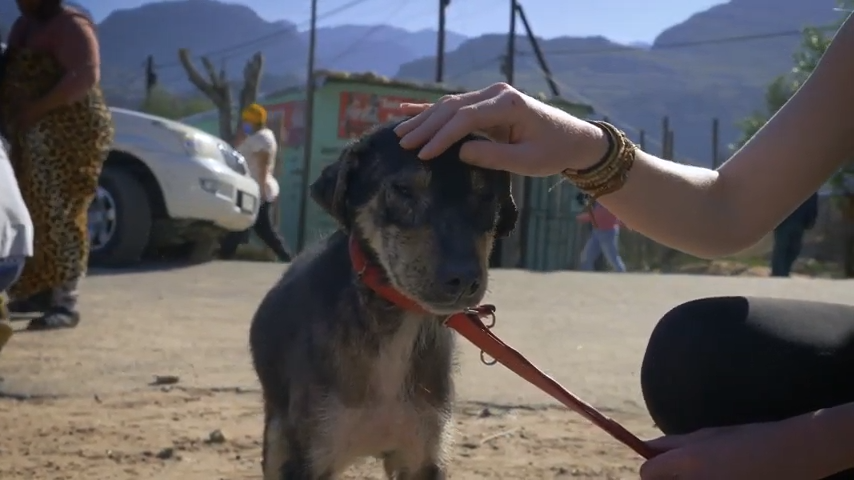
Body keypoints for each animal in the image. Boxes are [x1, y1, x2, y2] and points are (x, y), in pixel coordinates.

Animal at [251, 121, 520, 480]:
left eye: (486, 195)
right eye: (403, 190)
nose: (464, 279)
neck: (395, 321)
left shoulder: (423, 456)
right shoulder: (305, 458)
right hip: (278, 440)